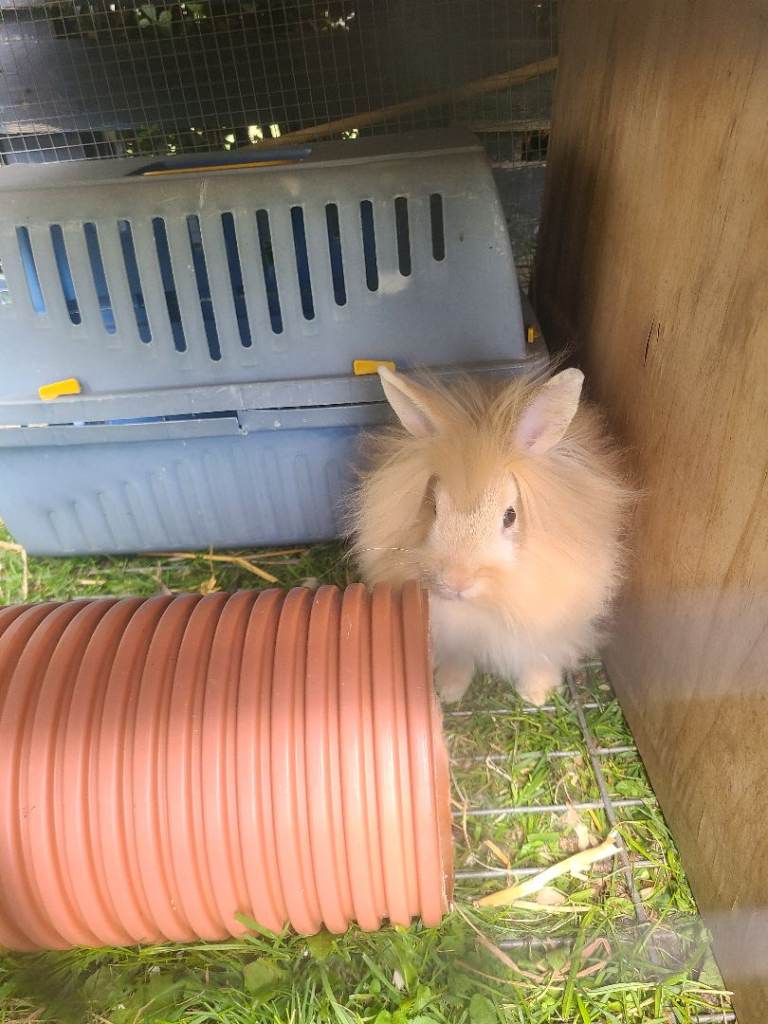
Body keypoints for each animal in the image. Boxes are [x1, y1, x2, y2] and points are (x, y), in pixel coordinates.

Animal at [347, 365, 633, 706]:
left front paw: (536, 694)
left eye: (510, 516)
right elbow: (458, 658)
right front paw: (449, 690)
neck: (484, 605)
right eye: (434, 508)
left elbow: (541, 655)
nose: (455, 581)